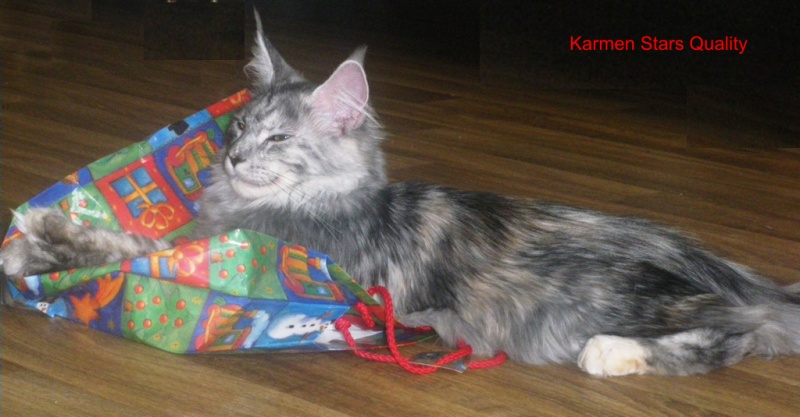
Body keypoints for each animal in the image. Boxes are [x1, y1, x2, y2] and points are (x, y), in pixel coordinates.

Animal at [2, 14, 800, 377]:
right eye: (239, 126)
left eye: (278, 141)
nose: (231, 154)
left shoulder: (220, 244)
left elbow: (122, 247)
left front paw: (39, 237)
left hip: (607, 304)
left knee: (739, 332)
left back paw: (613, 354)